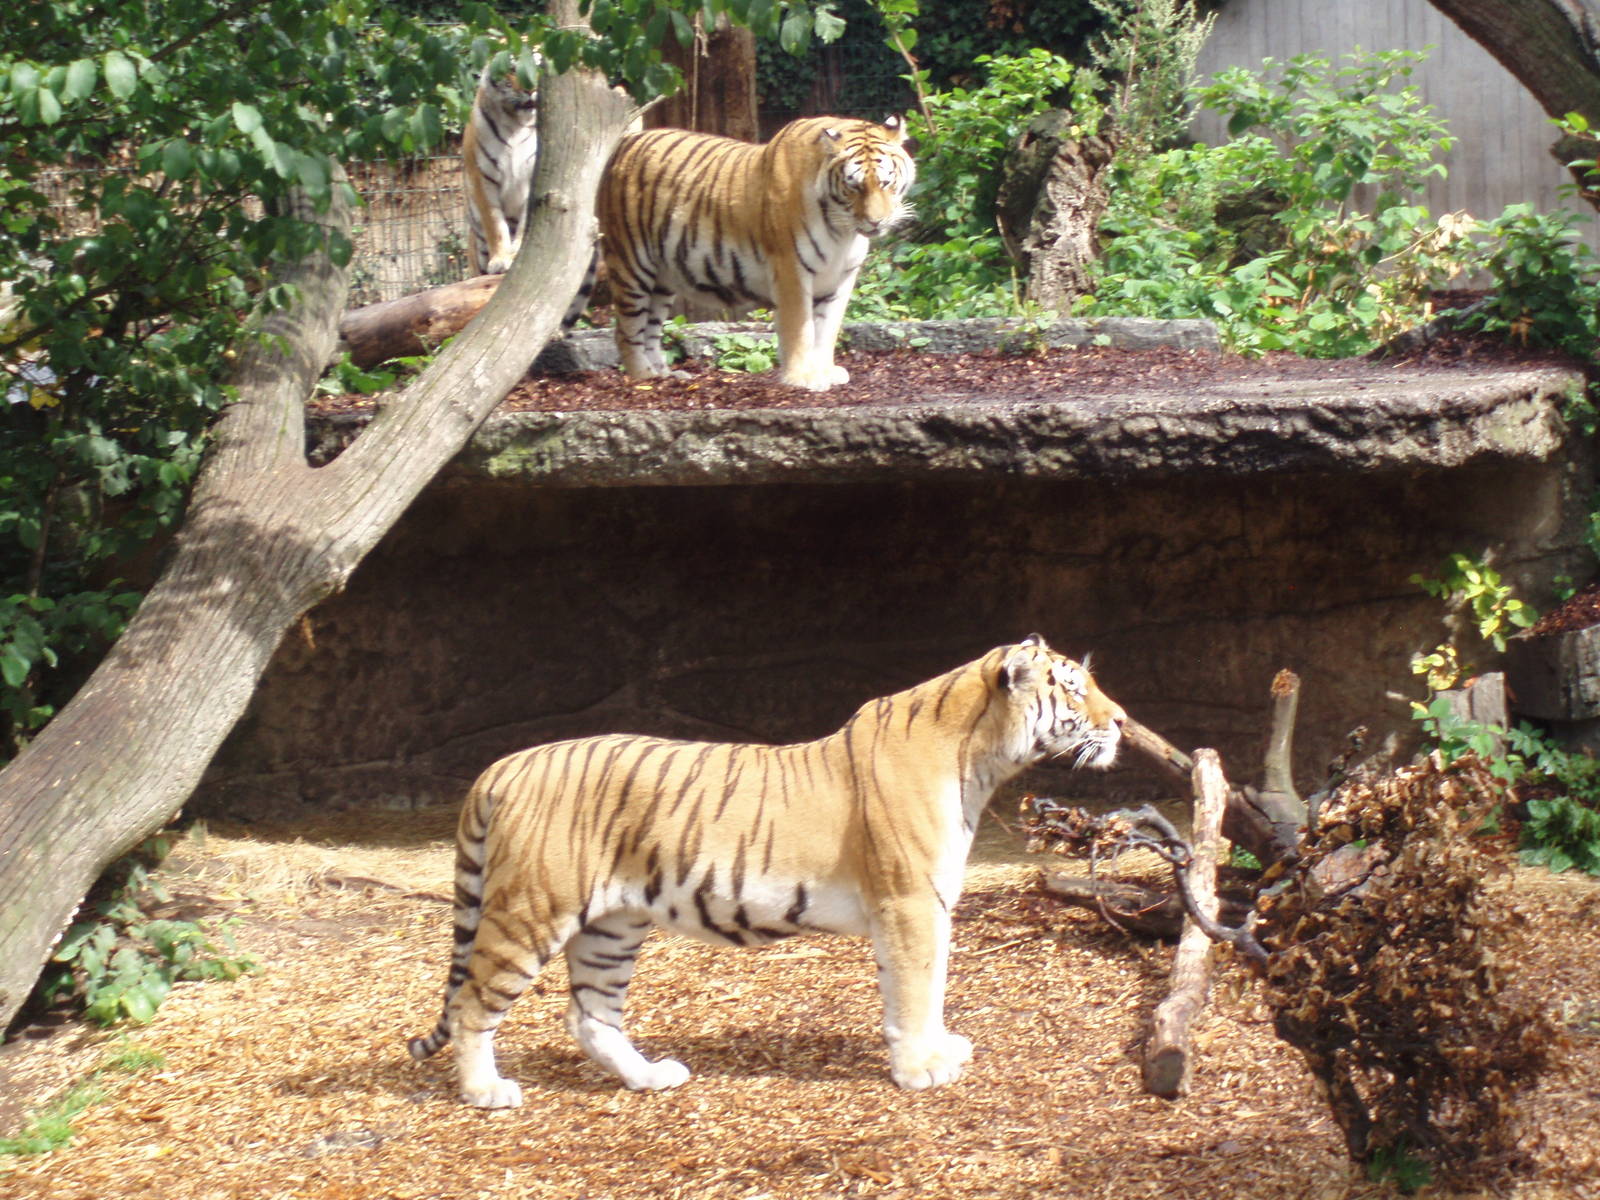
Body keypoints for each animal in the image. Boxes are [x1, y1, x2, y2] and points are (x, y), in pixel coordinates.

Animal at [407, 634, 1125, 1108]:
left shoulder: (927, 904)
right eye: (1074, 687)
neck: (980, 759)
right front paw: (923, 1068)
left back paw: (650, 1077)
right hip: (532, 910)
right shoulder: (912, 903)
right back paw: (486, 1091)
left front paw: (936, 1051)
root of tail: (506, 764)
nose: (1120, 721)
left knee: (590, 1015)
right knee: (473, 1003)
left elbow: (925, 985)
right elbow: (918, 986)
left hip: (613, 924)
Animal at [463, 64, 539, 276]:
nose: (531, 89)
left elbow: (525, 223)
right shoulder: (481, 178)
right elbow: (494, 222)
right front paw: (500, 260)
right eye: (512, 68)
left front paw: (516, 255)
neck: (516, 123)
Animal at [593, 115, 916, 392]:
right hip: (632, 263)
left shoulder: (841, 277)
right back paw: (643, 376)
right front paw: (802, 377)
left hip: (662, 278)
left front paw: (824, 371)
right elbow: (800, 328)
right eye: (854, 186)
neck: (843, 232)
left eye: (886, 182)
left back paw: (663, 374)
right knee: (625, 330)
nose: (876, 222)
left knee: (650, 328)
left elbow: (827, 330)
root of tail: (626, 141)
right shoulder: (791, 269)